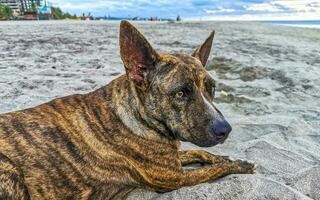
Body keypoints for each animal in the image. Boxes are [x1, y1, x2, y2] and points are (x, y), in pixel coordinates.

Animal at [0, 21, 255, 199]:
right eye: (180, 93)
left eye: (211, 88)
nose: (225, 130)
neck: (139, 116)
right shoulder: (174, 177)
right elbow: (215, 169)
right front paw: (239, 165)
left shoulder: (170, 159)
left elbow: (197, 152)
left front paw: (221, 156)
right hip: (9, 170)